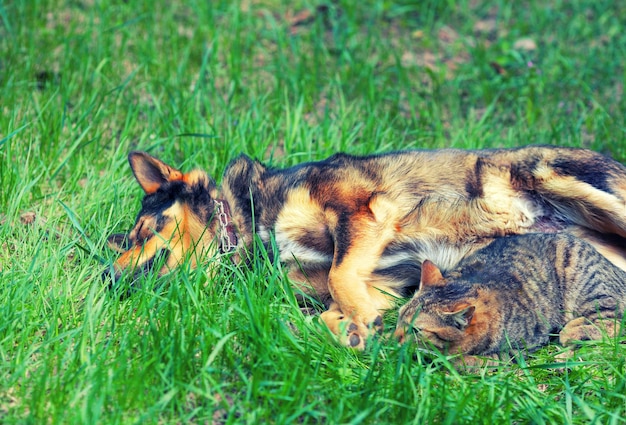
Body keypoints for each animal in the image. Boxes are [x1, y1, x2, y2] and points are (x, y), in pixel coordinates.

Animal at [394, 232, 624, 358]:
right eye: (399, 319)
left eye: (416, 330)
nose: (393, 339)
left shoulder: (518, 348)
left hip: (590, 289)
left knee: (612, 323)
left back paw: (571, 333)